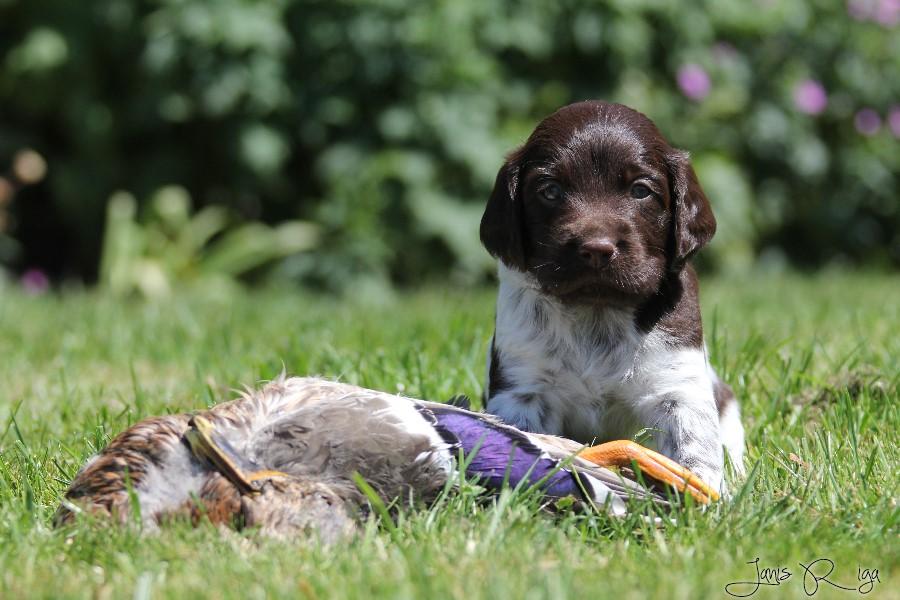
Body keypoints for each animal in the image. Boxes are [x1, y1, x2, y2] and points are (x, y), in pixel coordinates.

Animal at [480, 101, 744, 492]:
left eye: (640, 191)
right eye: (550, 191)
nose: (596, 249)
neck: (597, 311)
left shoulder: (676, 386)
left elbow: (692, 449)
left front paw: (703, 494)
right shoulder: (523, 386)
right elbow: (523, 438)